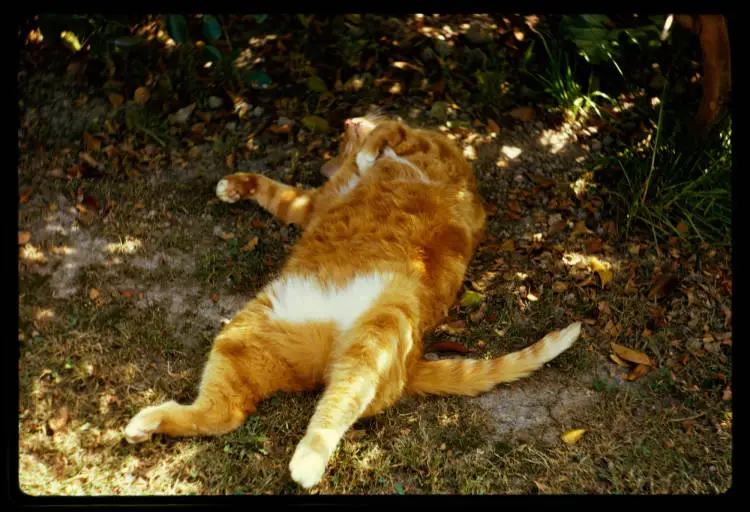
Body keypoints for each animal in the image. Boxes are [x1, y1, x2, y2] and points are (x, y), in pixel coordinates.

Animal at [126, 116, 580, 488]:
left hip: (379, 329)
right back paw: (145, 423)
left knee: (338, 401)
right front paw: (237, 185)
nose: (348, 125)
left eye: (342, 141)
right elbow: (277, 192)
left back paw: (307, 462)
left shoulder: (420, 145)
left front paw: (368, 152)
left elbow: (385, 134)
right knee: (228, 413)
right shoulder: (314, 204)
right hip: (250, 330)